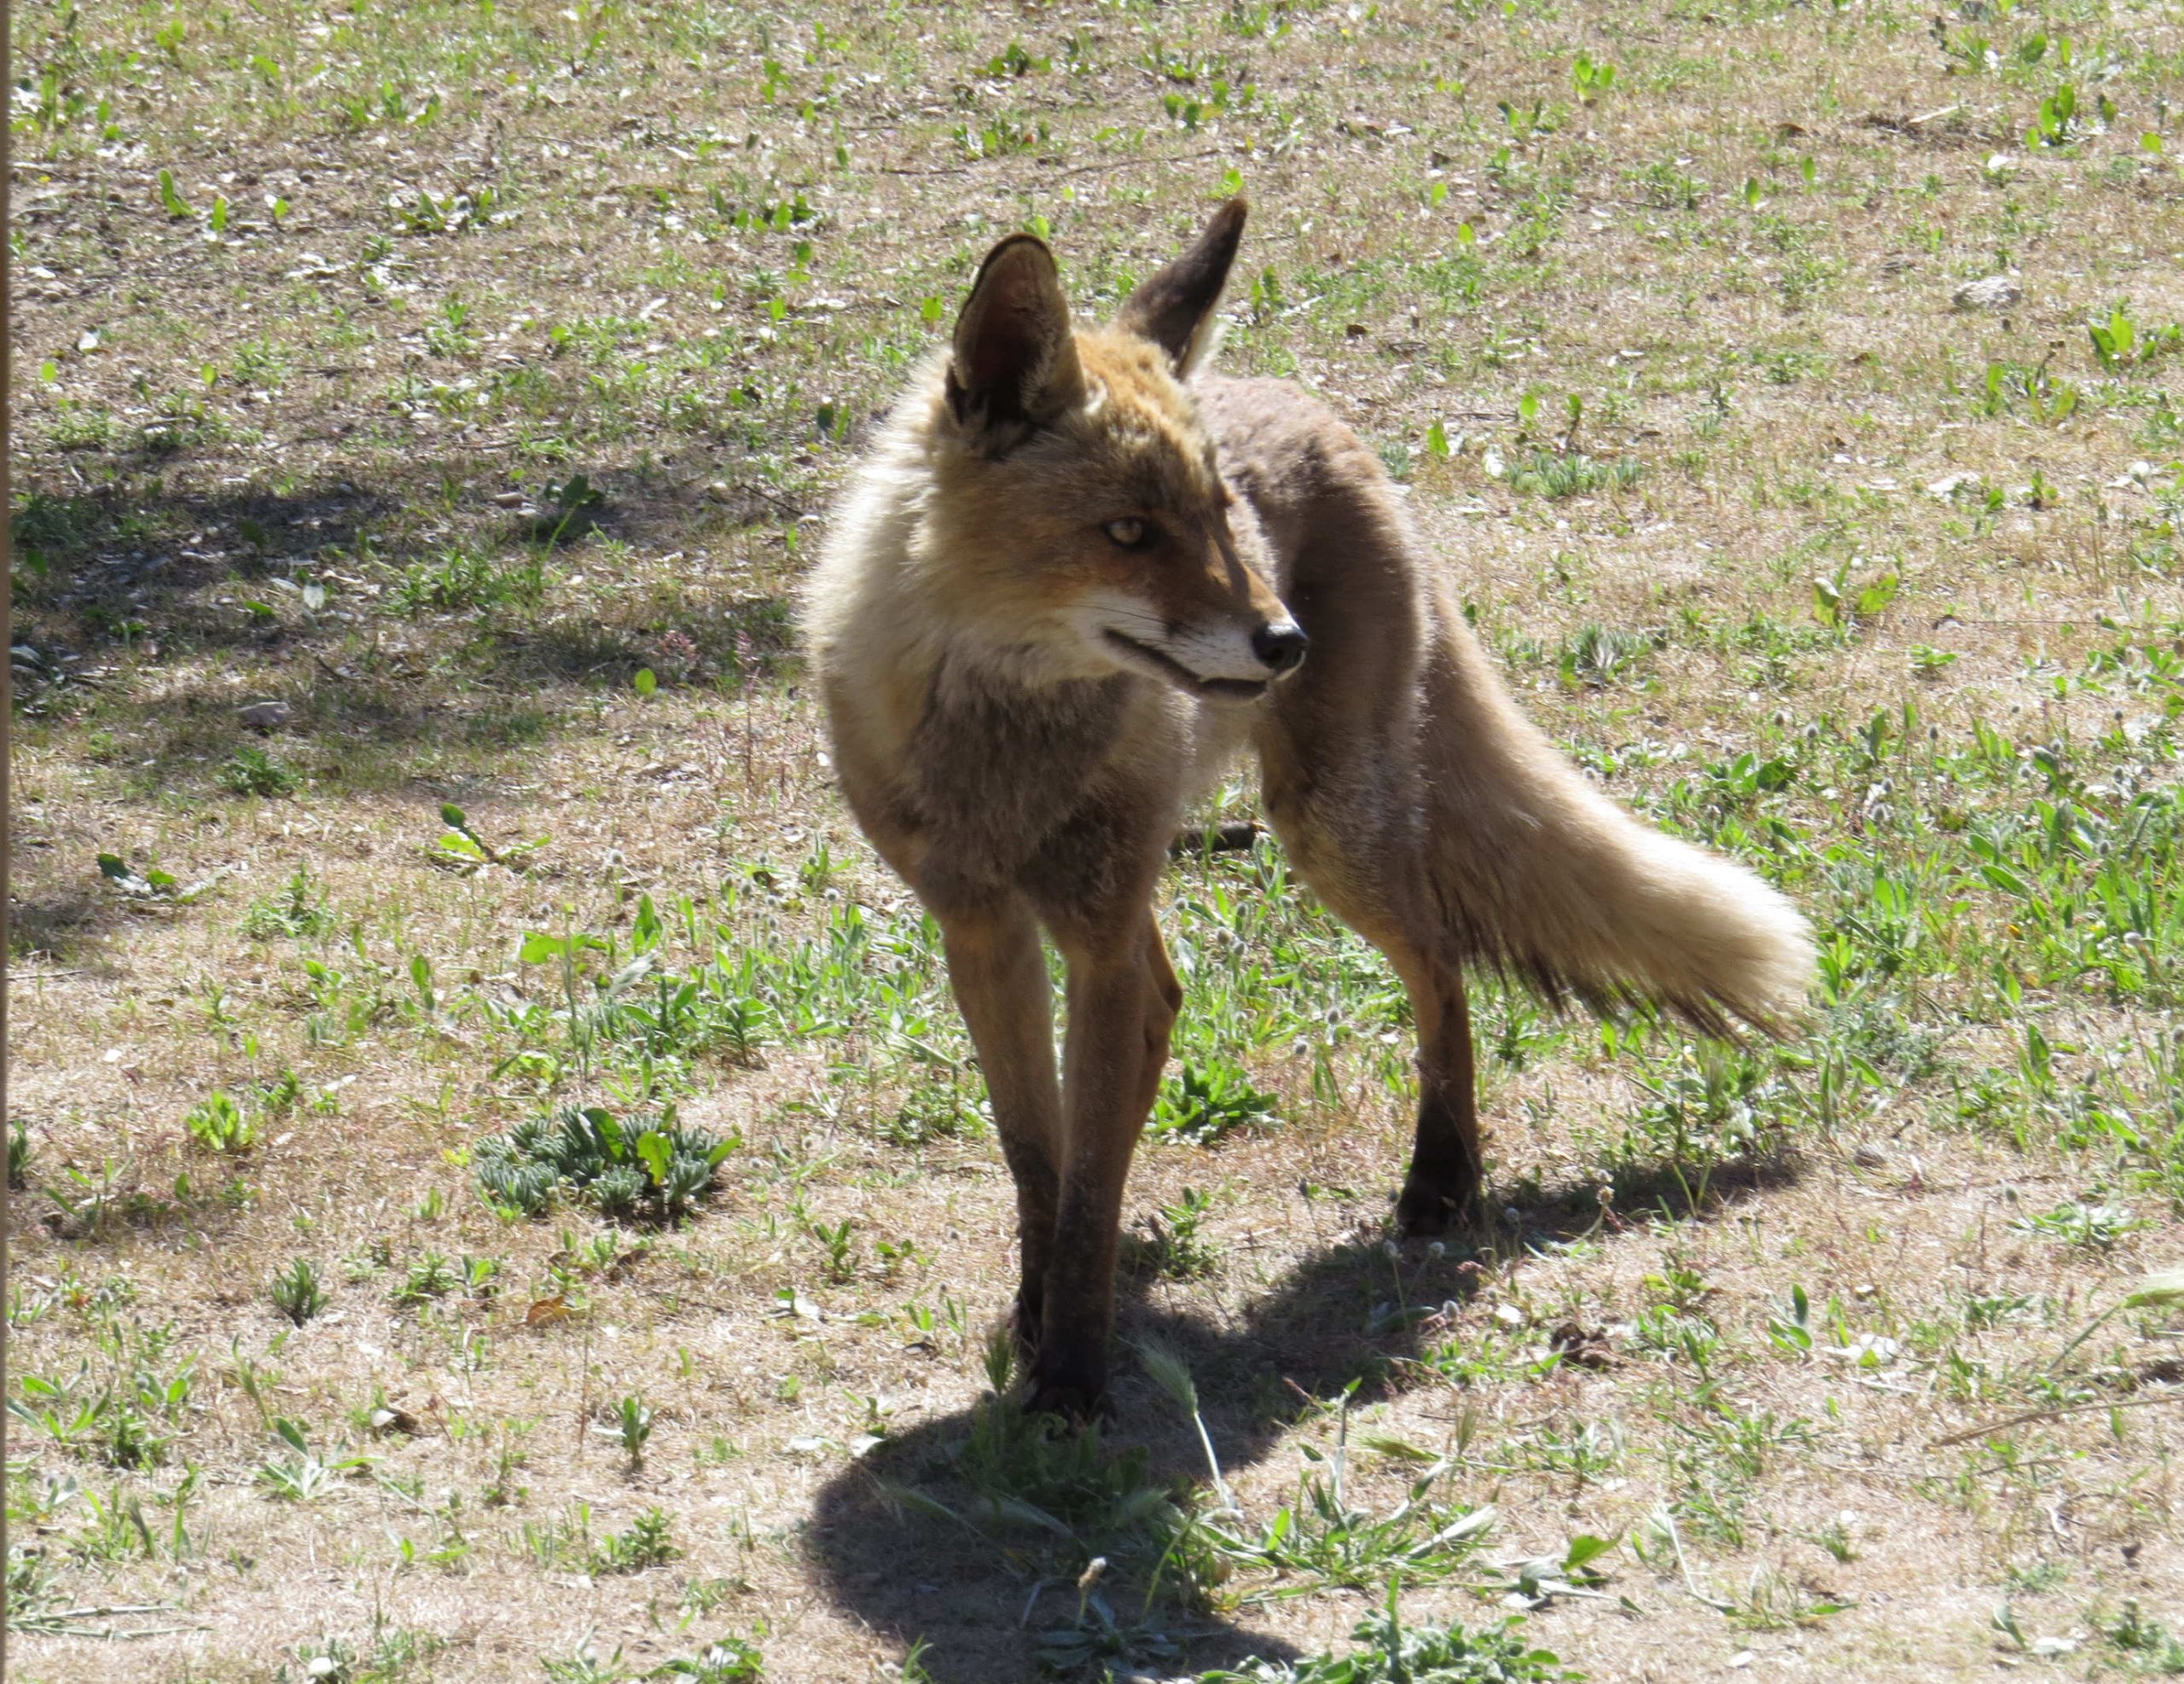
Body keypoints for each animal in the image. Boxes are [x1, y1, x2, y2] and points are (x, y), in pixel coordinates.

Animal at [802, 199, 1813, 1417]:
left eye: (1219, 516)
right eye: (1128, 533)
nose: (1285, 642)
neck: (1004, 754)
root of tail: (1315, 403)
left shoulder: (1092, 934)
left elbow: (1086, 1189)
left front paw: (1074, 1380)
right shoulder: (983, 927)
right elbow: (1039, 1162)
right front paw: (1041, 1319)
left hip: (1326, 831)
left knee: (1439, 960)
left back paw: (1442, 1180)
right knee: (1181, 997)